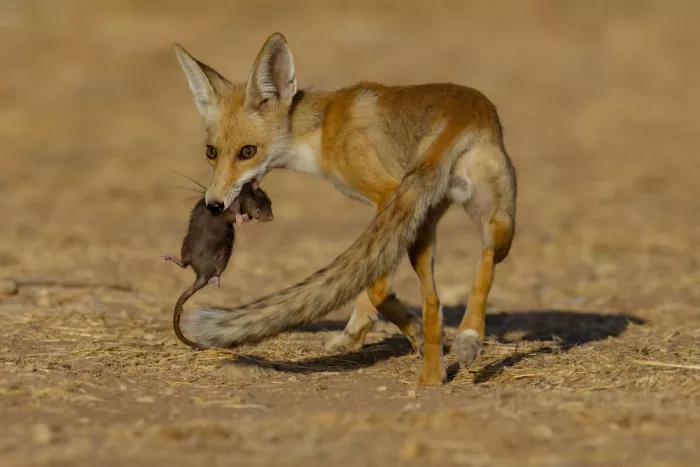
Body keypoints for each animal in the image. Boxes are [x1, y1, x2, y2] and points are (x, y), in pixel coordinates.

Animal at [172, 33, 516, 385]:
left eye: (247, 151)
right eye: (211, 152)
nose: (214, 205)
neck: (321, 131)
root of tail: (462, 113)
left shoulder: (387, 193)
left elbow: (374, 286)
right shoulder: (385, 213)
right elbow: (367, 281)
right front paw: (356, 333)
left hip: (431, 222)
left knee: (419, 294)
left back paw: (444, 352)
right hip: (481, 221)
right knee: (470, 273)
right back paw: (451, 354)